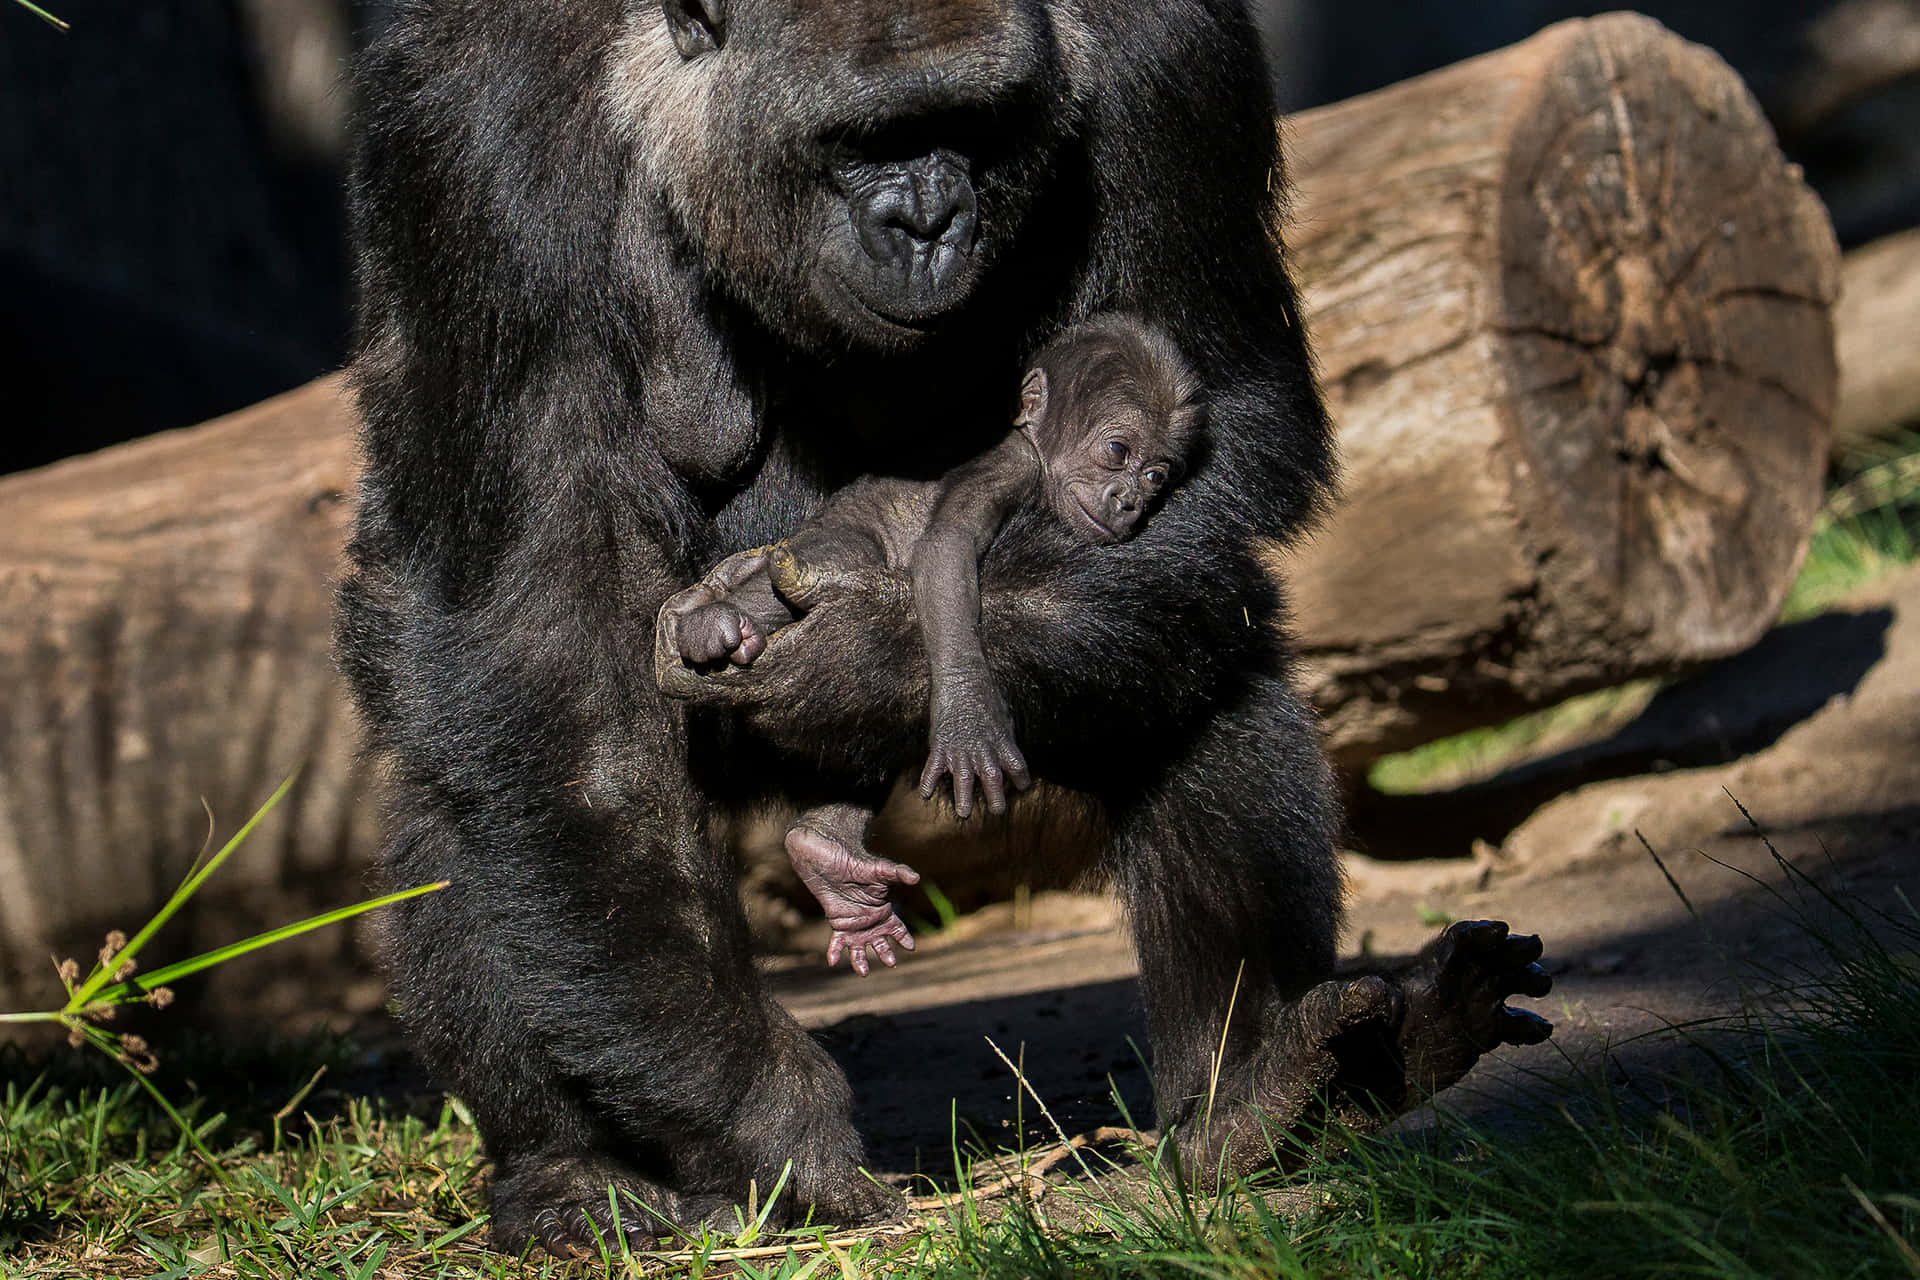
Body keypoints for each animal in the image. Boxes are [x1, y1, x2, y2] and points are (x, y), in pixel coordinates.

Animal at [668, 314, 1190, 974]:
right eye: (1116, 452)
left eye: (1156, 476)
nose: (1130, 502)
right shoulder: (1009, 468)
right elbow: (946, 549)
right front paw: (969, 714)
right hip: (822, 542)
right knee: (834, 562)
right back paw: (713, 623)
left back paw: (829, 859)